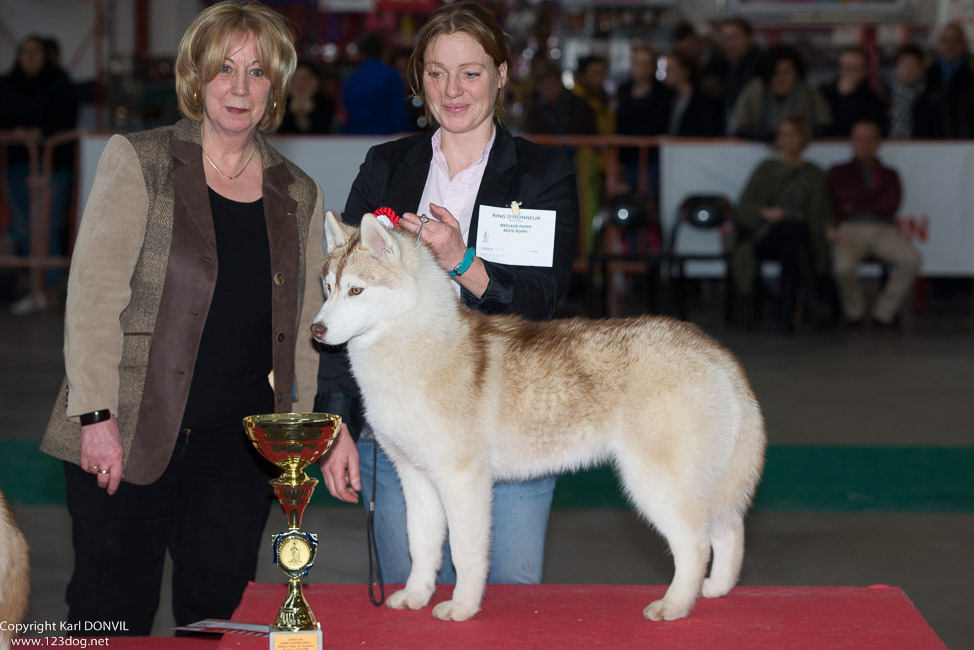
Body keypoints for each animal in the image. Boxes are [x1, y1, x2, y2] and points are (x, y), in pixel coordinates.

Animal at [312, 210, 772, 620]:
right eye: (328, 288)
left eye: (357, 291)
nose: (316, 330)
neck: (416, 346)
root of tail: (712, 349)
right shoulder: (416, 478)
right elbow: (421, 546)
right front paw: (416, 595)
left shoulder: (463, 480)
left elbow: (465, 553)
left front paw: (462, 607)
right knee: (729, 528)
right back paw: (716, 589)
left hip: (655, 483)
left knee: (696, 544)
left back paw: (675, 605)